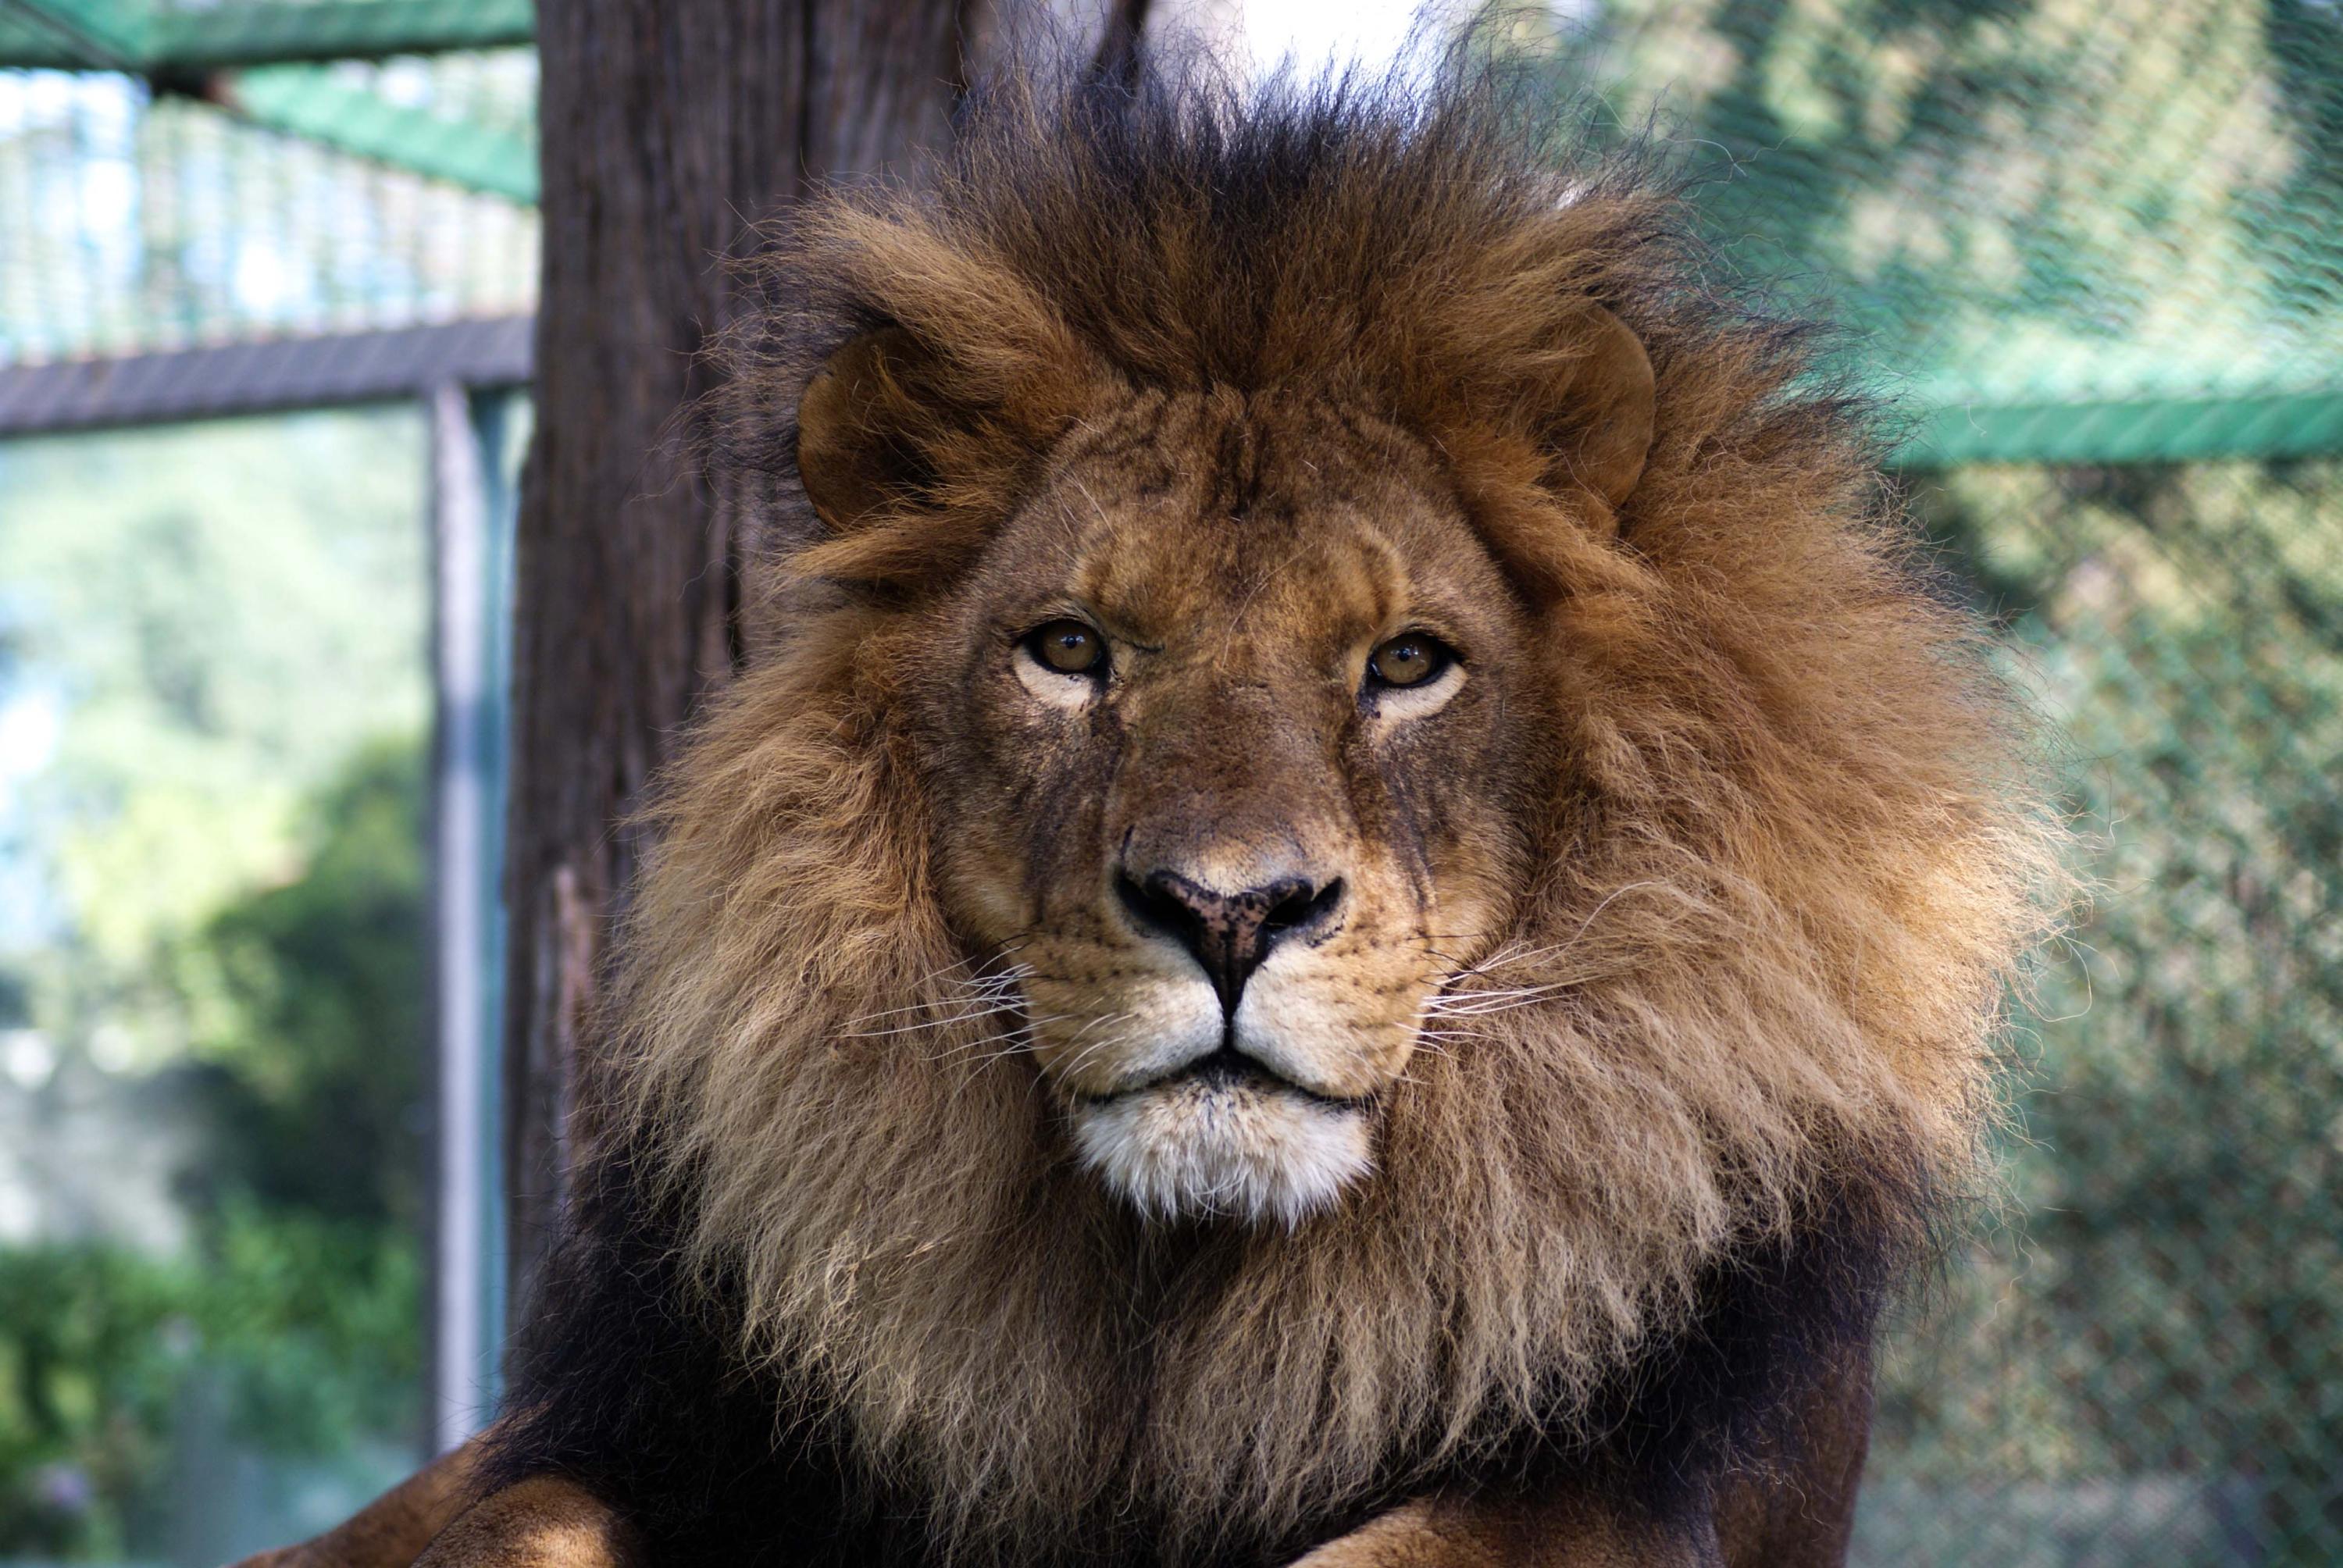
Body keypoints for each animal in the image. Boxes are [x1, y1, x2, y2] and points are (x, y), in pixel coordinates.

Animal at [239, 52, 2055, 1568]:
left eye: (1408, 662)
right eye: (1069, 650)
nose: (1229, 910)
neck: (1166, 1331)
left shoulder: (1638, 1484)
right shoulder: (656, 1434)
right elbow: (493, 1519)